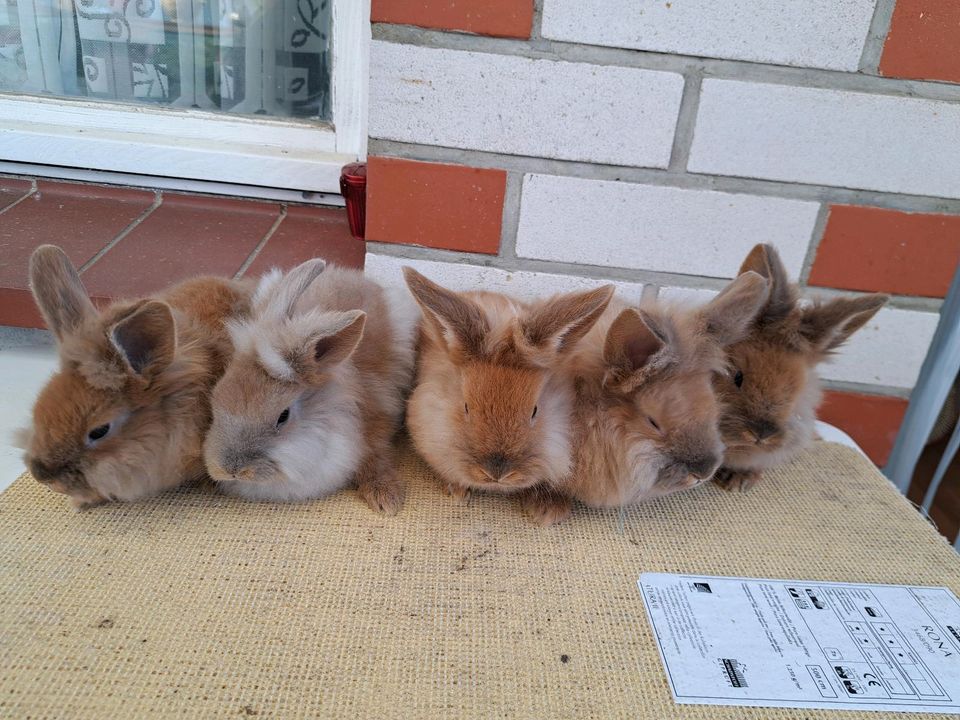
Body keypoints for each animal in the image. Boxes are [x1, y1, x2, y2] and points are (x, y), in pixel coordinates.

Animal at [204, 258, 418, 512]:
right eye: (216, 398)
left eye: (283, 416)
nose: (232, 470)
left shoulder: (377, 421)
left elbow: (376, 456)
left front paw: (386, 498)